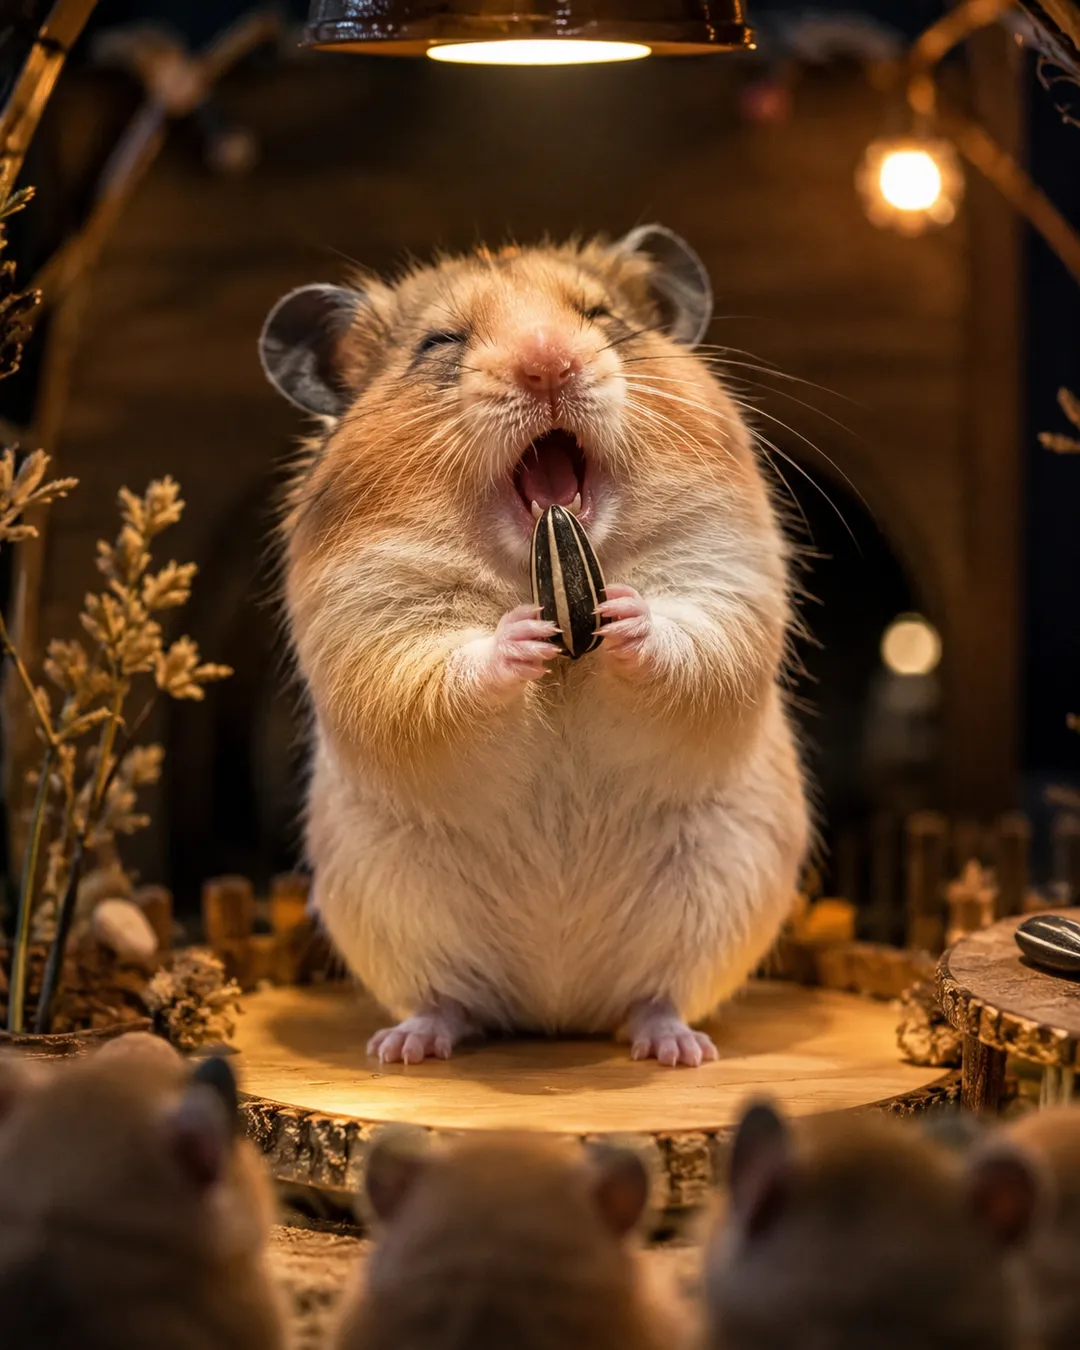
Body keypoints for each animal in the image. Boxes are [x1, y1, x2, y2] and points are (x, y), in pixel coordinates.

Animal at [260, 225, 809, 1066]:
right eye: (440, 341)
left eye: (601, 315)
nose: (548, 362)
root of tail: (557, 1008)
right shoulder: (373, 627)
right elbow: (440, 673)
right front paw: (518, 633)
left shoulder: (728, 579)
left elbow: (691, 636)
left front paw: (624, 612)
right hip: (400, 920)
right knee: (451, 1002)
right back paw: (404, 1045)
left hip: (717, 904)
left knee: (657, 997)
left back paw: (680, 1049)